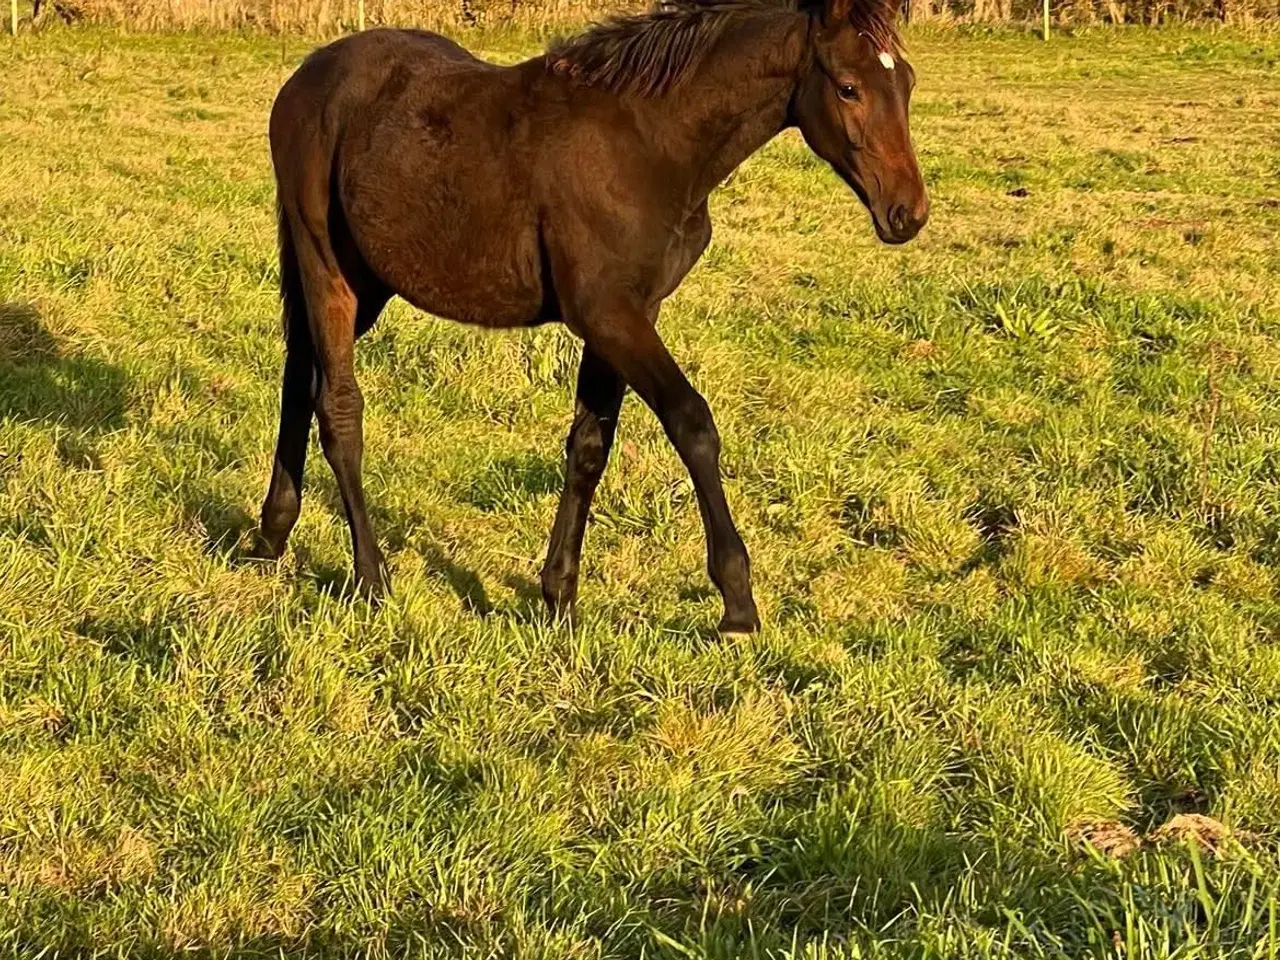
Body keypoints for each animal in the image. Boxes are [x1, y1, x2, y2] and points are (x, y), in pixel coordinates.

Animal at [252, 0, 931, 634]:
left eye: (908, 82)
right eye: (848, 87)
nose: (908, 214)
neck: (648, 145)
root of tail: (307, 74)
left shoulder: (627, 315)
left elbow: (589, 446)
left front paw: (559, 597)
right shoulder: (608, 315)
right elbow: (692, 423)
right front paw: (737, 602)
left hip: (370, 281)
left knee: (297, 376)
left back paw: (270, 536)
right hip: (326, 266)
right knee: (338, 407)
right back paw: (371, 577)